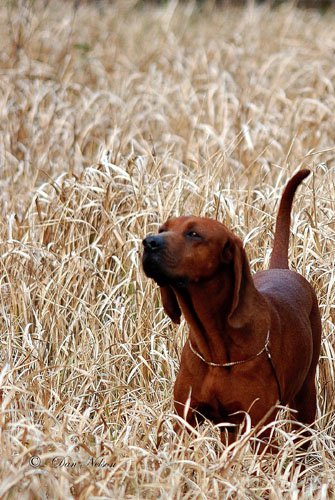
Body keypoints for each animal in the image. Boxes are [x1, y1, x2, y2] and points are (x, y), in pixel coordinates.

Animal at [142, 171, 322, 446]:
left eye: (194, 234)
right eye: (163, 229)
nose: (149, 242)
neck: (217, 352)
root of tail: (281, 268)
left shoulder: (260, 429)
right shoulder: (186, 422)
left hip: (304, 399)